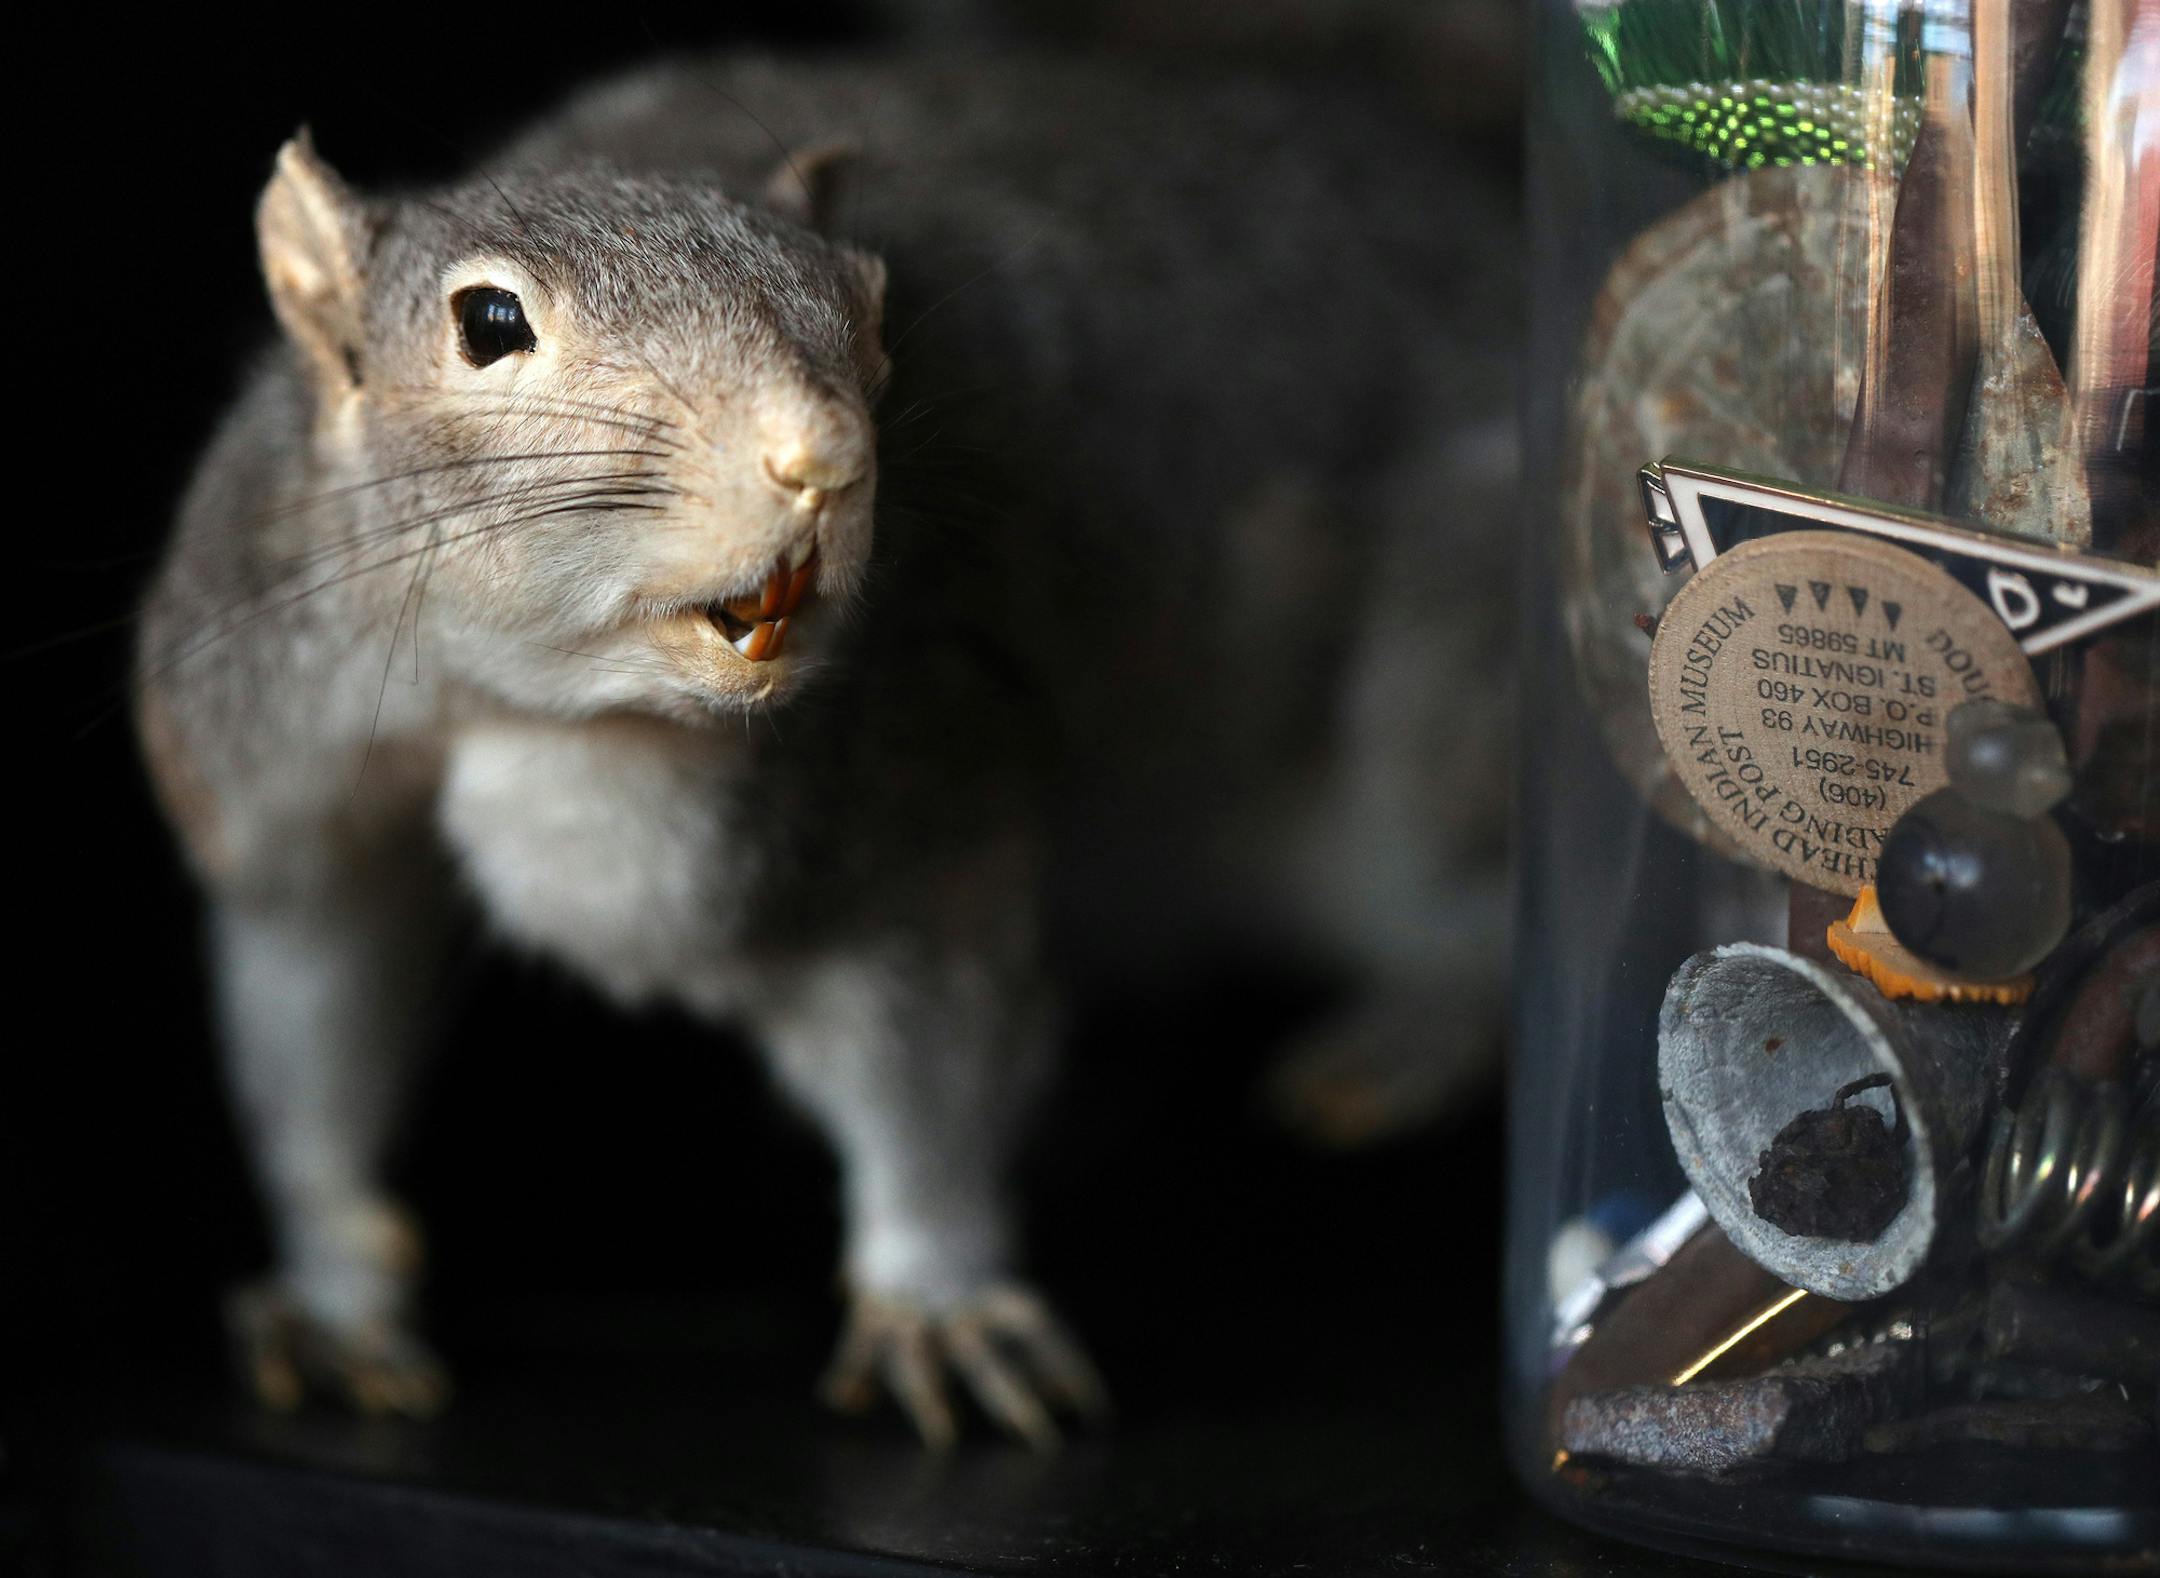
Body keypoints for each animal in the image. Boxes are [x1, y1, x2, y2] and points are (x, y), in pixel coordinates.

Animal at [132, 51, 1517, 1447]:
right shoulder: (276, 786)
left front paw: (938, 1301)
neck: (526, 711)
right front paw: (332, 1295)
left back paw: (1408, 1035)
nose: (828, 461)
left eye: (870, 301)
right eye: (487, 323)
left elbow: (927, 1067)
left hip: (1440, 699)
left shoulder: (912, 795)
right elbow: (314, 1025)